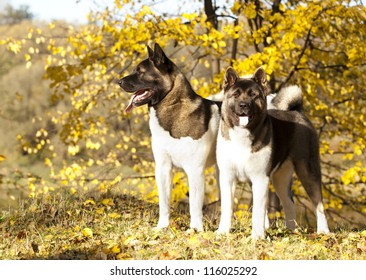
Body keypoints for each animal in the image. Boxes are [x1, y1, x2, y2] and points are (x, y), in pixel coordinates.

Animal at [216, 67, 330, 238]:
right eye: (235, 94)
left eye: (253, 95)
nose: (244, 105)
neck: (242, 134)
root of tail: (297, 111)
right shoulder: (228, 177)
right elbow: (227, 206)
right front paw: (222, 232)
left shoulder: (260, 178)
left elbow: (258, 211)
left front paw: (257, 236)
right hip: (280, 178)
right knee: (289, 203)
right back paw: (291, 231)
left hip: (308, 170)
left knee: (318, 203)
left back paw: (323, 231)